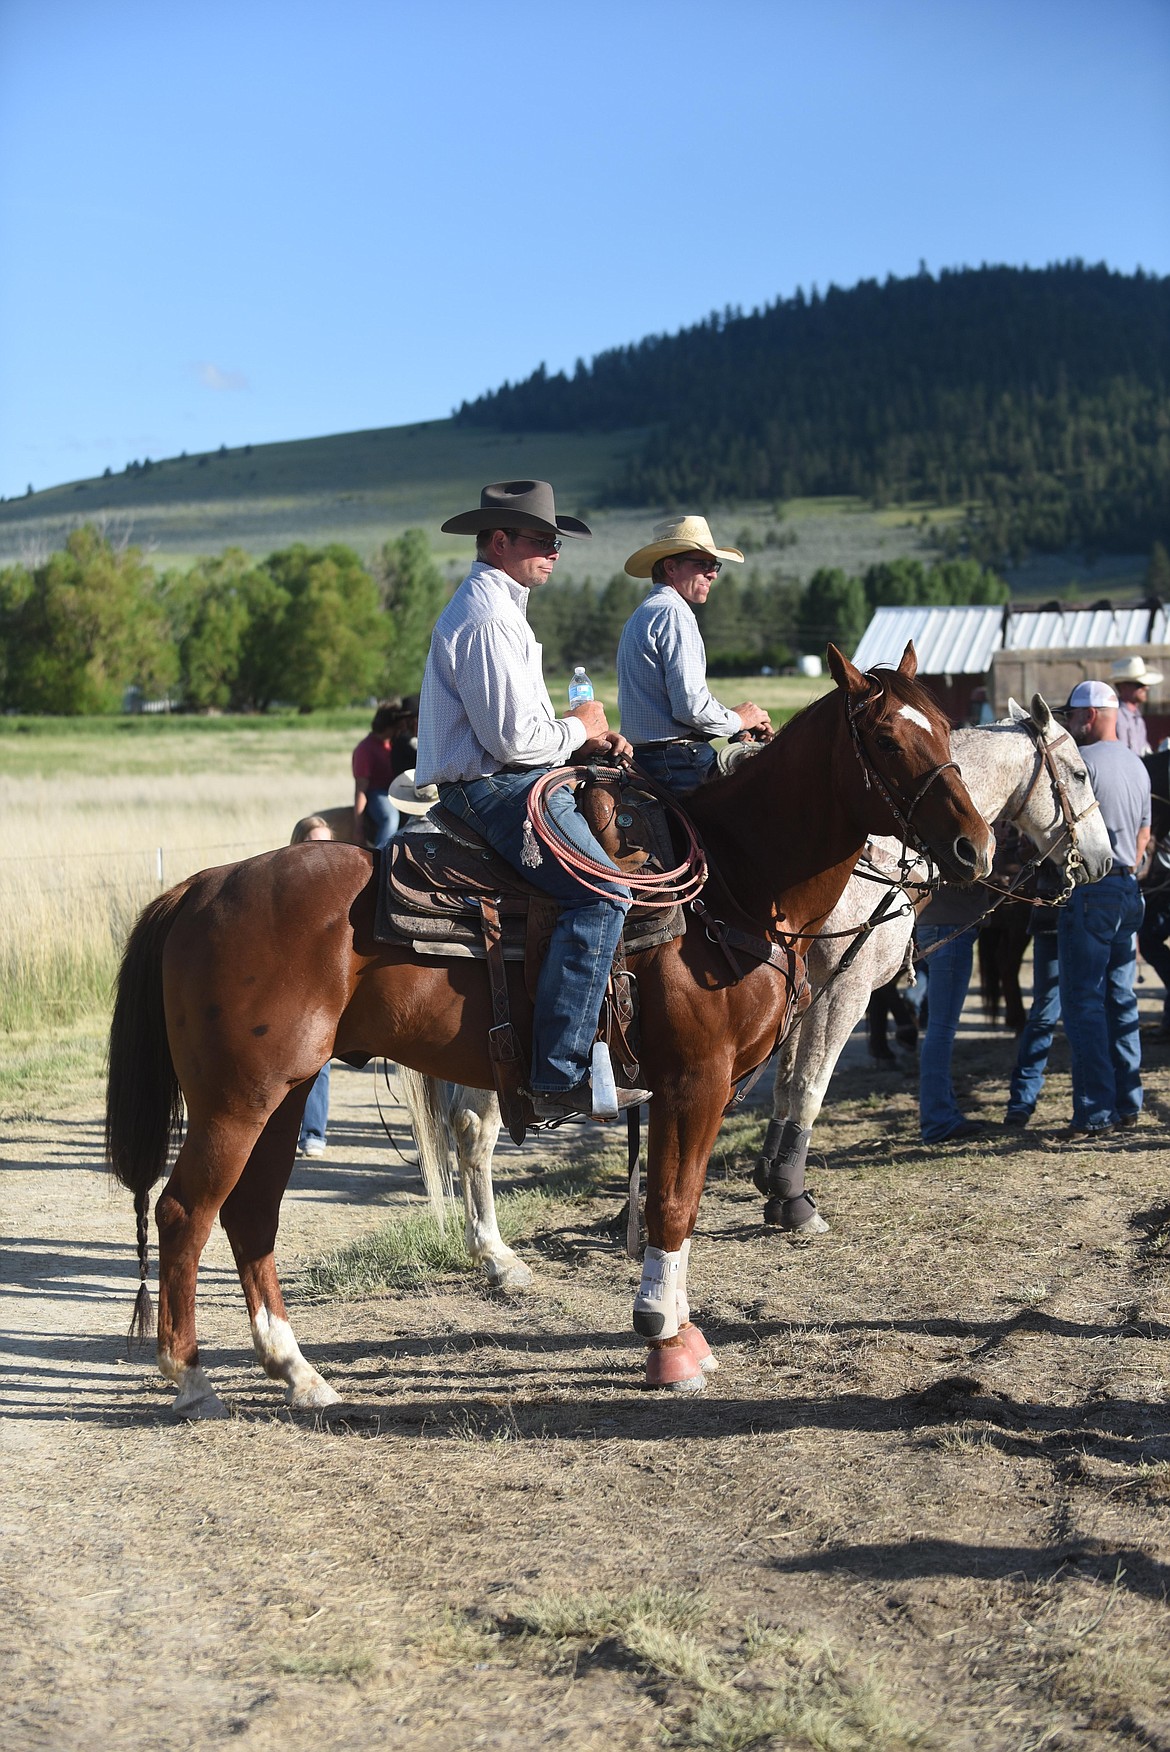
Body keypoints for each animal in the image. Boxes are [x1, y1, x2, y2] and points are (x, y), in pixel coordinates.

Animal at [107, 644, 987, 1408]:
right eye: (885, 737)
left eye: (946, 728)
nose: (973, 847)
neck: (730, 882)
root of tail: (199, 887)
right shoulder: (694, 1080)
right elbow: (674, 1204)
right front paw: (665, 1339)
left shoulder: (689, 1088)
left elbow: (677, 1200)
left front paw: (677, 1328)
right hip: (236, 1101)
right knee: (185, 1212)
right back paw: (191, 1380)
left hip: (284, 1095)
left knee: (251, 1215)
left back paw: (298, 1373)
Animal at [397, 697, 1113, 1289]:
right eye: (1081, 773)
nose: (1105, 862)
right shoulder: (846, 986)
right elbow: (809, 1086)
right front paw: (790, 1197)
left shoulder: (800, 994)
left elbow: (785, 1081)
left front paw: (771, 1178)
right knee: (477, 1127)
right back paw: (496, 1255)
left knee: (467, 1125)